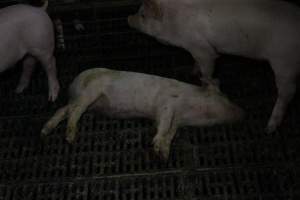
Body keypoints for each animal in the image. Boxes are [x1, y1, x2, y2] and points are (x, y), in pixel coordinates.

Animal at [41, 68, 244, 159]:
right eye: (225, 97)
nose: (243, 112)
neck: (188, 107)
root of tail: (74, 83)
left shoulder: (178, 120)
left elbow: (171, 132)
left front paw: (164, 154)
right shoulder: (167, 103)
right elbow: (164, 124)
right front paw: (157, 147)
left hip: (83, 99)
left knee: (63, 110)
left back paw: (45, 131)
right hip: (90, 92)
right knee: (75, 111)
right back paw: (70, 138)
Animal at [127, 0, 300, 134]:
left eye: (143, 15)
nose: (128, 18)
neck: (175, 22)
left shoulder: (202, 48)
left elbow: (208, 69)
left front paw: (204, 84)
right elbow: (197, 63)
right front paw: (192, 72)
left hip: (284, 64)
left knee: (287, 93)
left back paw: (269, 128)